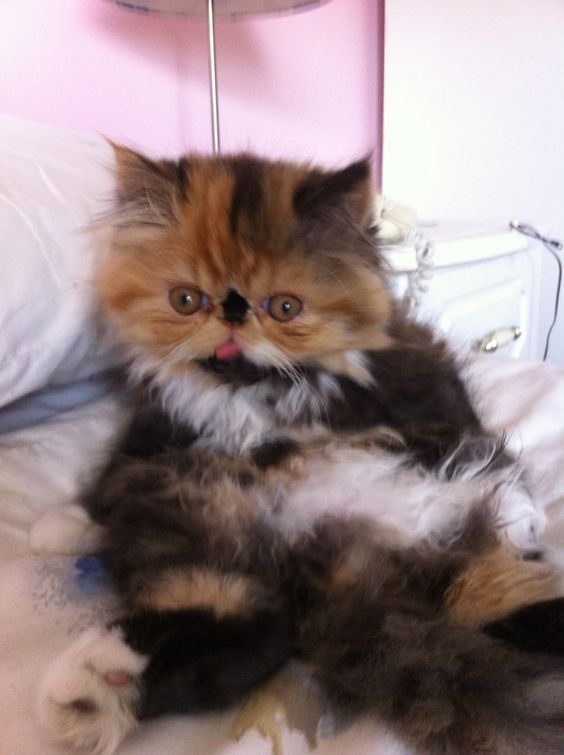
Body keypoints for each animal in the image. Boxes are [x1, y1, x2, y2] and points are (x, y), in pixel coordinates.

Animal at [35, 149, 564, 755]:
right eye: (186, 300)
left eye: (285, 307)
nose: (234, 318)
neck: (245, 396)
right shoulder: (161, 432)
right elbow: (115, 468)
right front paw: (65, 523)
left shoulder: (414, 392)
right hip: (186, 514)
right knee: (250, 623)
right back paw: (96, 687)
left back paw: (88, 683)